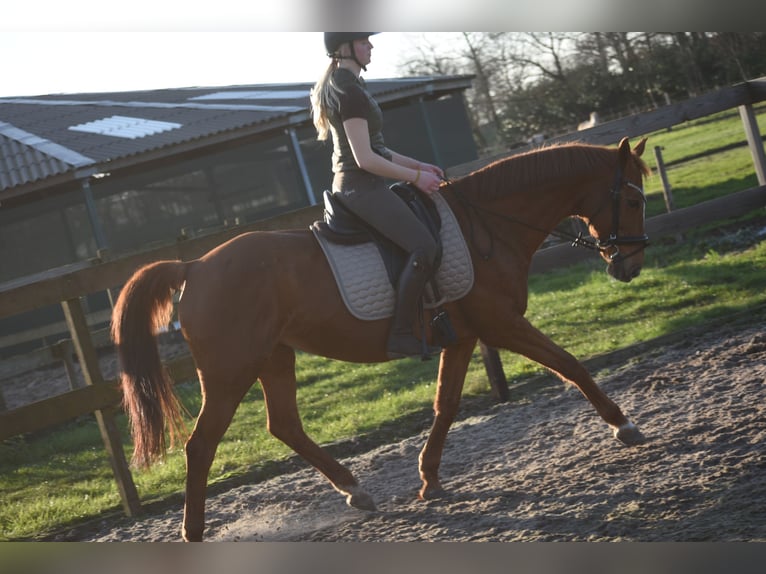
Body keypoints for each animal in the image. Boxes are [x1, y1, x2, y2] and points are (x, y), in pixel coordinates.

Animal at [112, 136, 651, 541]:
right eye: (632, 200)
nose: (629, 266)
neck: (488, 224)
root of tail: (193, 266)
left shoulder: (463, 338)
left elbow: (446, 405)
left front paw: (429, 479)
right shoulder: (501, 325)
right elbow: (570, 364)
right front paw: (624, 426)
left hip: (274, 357)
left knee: (283, 425)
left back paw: (355, 491)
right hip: (230, 372)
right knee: (201, 445)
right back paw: (194, 532)